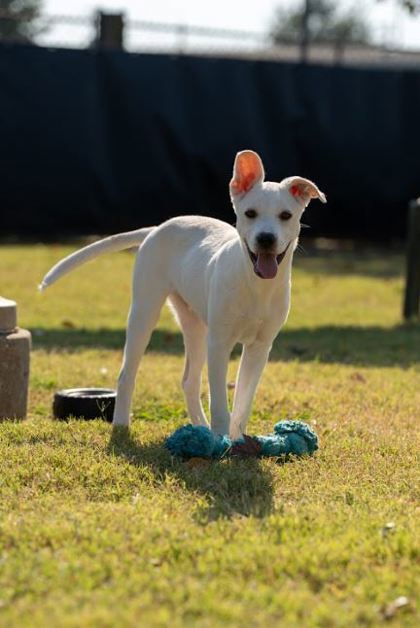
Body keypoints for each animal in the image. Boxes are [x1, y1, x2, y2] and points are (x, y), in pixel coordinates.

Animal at [40, 150, 324, 440]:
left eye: (286, 215)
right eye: (250, 213)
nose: (266, 238)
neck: (256, 285)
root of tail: (156, 228)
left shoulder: (260, 346)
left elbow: (243, 401)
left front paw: (236, 438)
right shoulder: (219, 343)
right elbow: (219, 401)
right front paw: (223, 440)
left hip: (194, 324)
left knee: (189, 381)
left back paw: (200, 428)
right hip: (145, 311)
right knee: (127, 374)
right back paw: (121, 426)